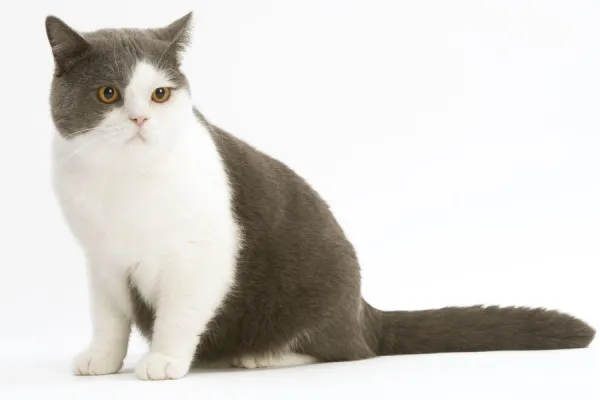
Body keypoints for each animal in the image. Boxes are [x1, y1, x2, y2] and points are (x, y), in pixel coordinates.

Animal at [45, 12, 596, 382]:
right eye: (109, 94)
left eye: (160, 94)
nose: (140, 119)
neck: (124, 178)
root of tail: (363, 311)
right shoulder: (102, 261)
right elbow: (109, 317)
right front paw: (103, 359)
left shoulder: (202, 257)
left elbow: (180, 313)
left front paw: (164, 359)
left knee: (347, 350)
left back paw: (262, 355)